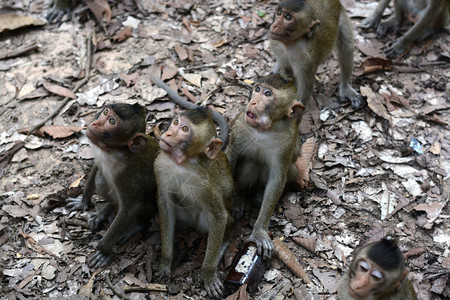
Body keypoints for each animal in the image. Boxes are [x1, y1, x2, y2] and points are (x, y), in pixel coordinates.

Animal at [66, 102, 159, 268]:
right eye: (105, 112)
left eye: (112, 121)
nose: (95, 123)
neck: (115, 151)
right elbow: (96, 168)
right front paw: (83, 202)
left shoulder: (127, 173)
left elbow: (131, 207)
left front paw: (104, 250)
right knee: (101, 179)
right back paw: (106, 210)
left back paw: (135, 226)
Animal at [154, 107, 234, 298]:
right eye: (176, 123)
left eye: (184, 129)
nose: (167, 134)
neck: (183, 164)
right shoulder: (160, 166)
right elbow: (166, 207)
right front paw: (166, 262)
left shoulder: (205, 185)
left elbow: (218, 216)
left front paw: (208, 274)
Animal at [227, 74, 304, 260]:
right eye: (257, 89)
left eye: (268, 94)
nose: (253, 102)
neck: (263, 131)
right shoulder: (239, 126)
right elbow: (231, 157)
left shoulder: (286, 142)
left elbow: (278, 178)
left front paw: (259, 232)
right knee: (251, 163)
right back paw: (240, 197)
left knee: (290, 170)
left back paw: (260, 194)